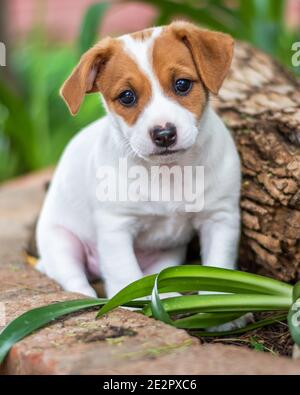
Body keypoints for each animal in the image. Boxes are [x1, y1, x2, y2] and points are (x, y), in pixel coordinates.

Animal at [35, 22, 241, 310]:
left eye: (182, 84)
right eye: (127, 97)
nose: (164, 134)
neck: (168, 171)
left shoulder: (220, 219)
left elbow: (218, 269)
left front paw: (225, 309)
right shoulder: (116, 227)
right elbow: (125, 277)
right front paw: (129, 302)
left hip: (168, 255)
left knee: (153, 278)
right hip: (61, 242)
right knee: (73, 278)